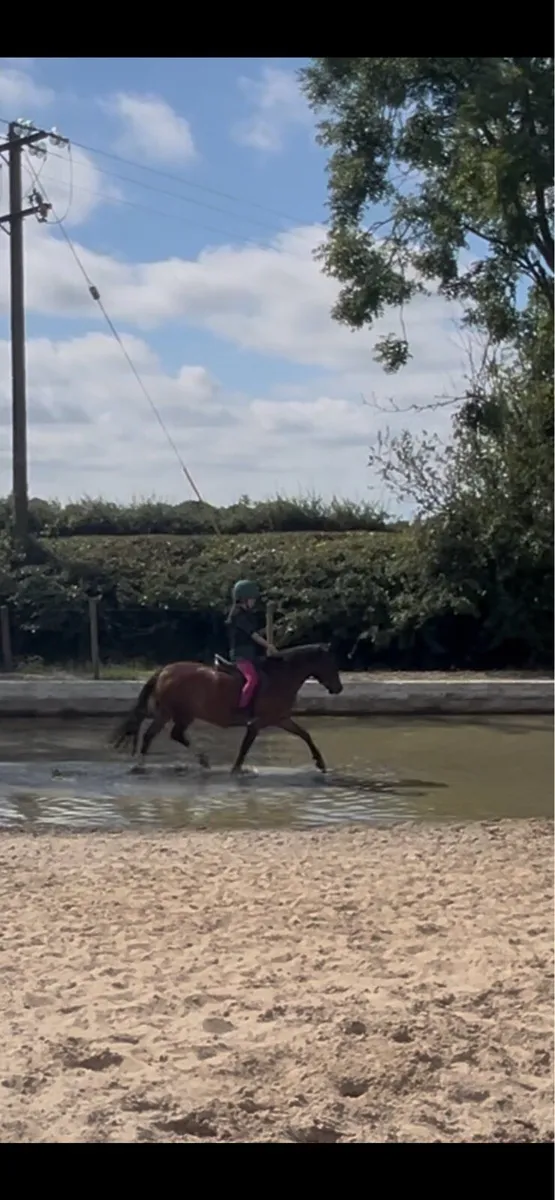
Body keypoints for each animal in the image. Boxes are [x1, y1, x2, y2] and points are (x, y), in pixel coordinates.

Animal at [110, 643, 343, 775]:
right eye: (331, 663)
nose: (338, 688)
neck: (280, 675)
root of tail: (164, 670)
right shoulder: (258, 723)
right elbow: (245, 748)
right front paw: (237, 770)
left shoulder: (281, 718)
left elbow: (305, 734)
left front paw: (321, 764)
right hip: (182, 714)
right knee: (174, 735)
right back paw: (201, 760)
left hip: (166, 714)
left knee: (151, 735)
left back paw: (143, 765)